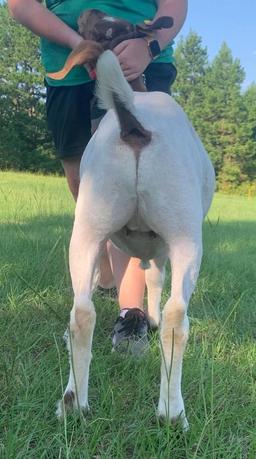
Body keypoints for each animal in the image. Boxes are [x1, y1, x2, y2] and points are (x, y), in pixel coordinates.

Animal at [57, 48, 215, 430]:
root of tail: (134, 117)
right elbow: (155, 281)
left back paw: (74, 403)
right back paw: (172, 413)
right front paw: (151, 318)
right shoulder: (162, 248)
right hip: (186, 234)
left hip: (88, 226)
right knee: (176, 318)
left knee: (81, 313)